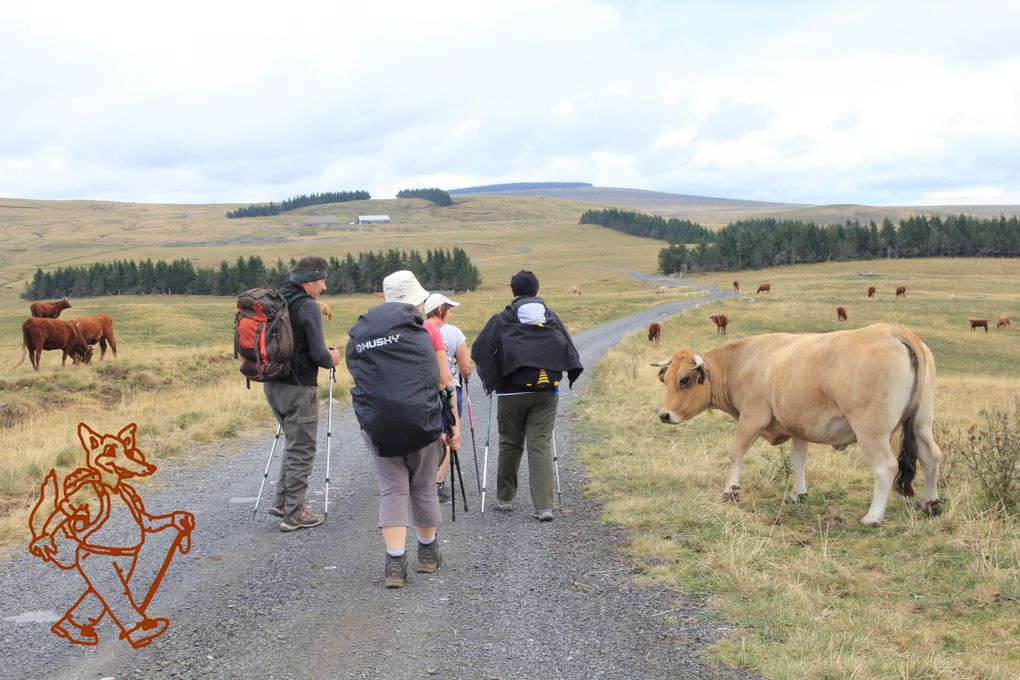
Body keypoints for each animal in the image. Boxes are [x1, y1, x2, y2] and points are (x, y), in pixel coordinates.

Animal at [652, 324, 938, 526]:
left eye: (685, 380)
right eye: (665, 379)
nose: (664, 415)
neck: (743, 361)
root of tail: (895, 331)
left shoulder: (752, 417)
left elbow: (736, 453)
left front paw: (730, 490)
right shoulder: (799, 426)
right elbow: (799, 460)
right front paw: (797, 494)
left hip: (871, 432)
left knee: (885, 467)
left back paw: (873, 517)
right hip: (922, 424)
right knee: (932, 457)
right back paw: (931, 503)